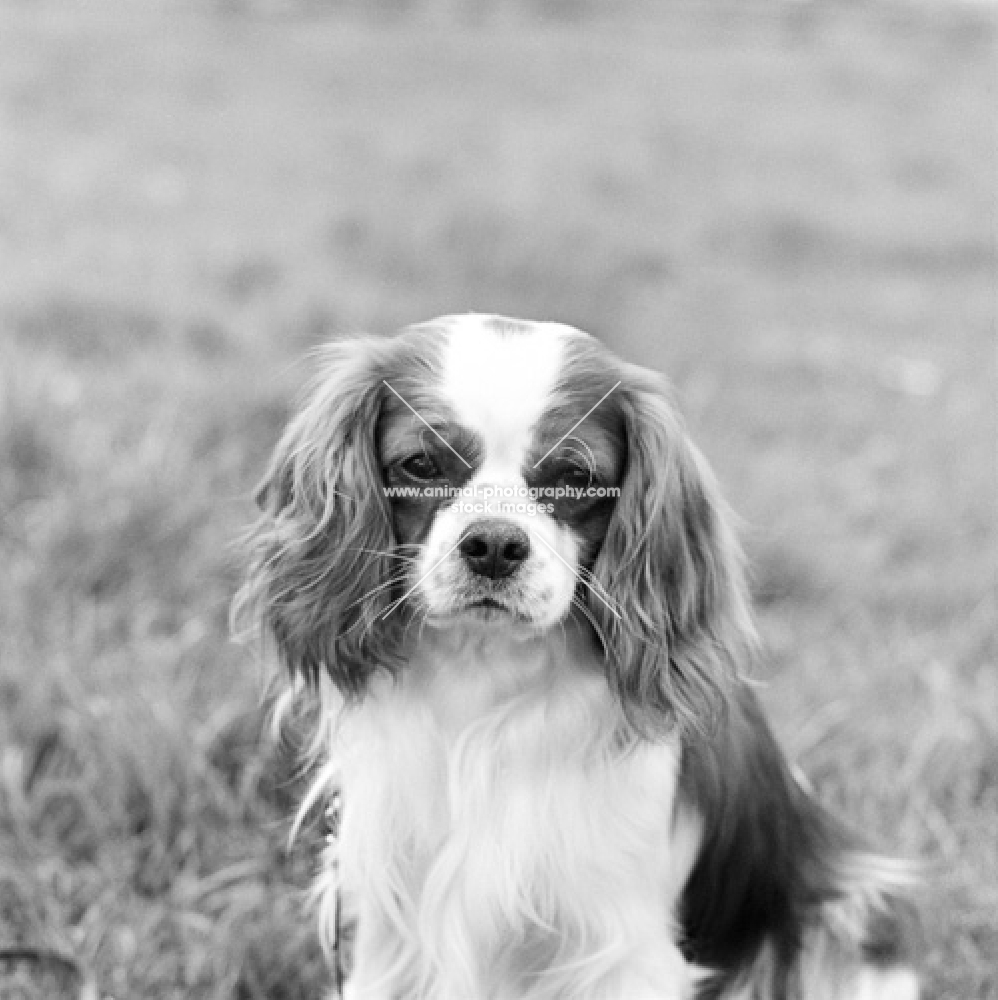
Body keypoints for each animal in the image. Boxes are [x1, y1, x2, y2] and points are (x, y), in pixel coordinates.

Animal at [236, 314, 920, 1000]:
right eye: (421, 464)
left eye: (575, 476)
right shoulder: (391, 928)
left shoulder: (622, 946)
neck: (485, 668)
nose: (494, 543)